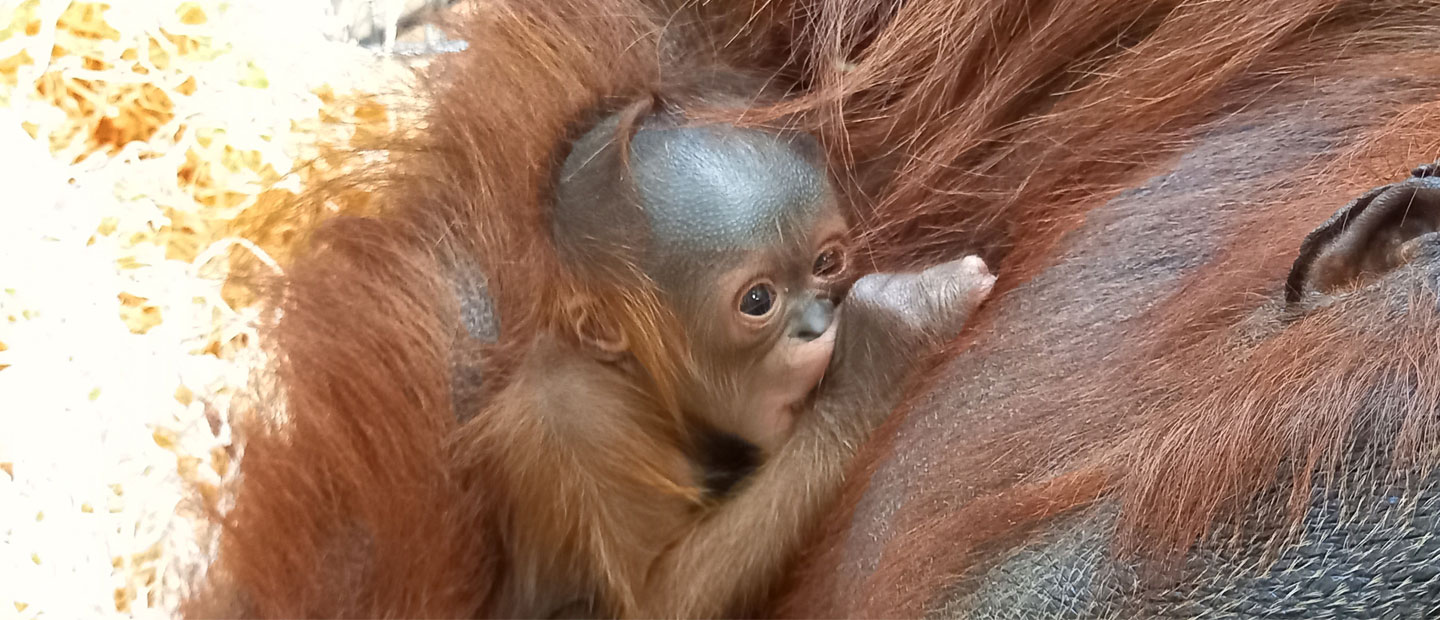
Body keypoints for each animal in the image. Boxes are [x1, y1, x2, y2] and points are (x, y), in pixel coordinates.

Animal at [456, 98, 996, 618]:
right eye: (758, 300)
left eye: (827, 263)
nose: (818, 322)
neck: (636, 378)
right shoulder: (577, 417)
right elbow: (656, 598)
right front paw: (885, 346)